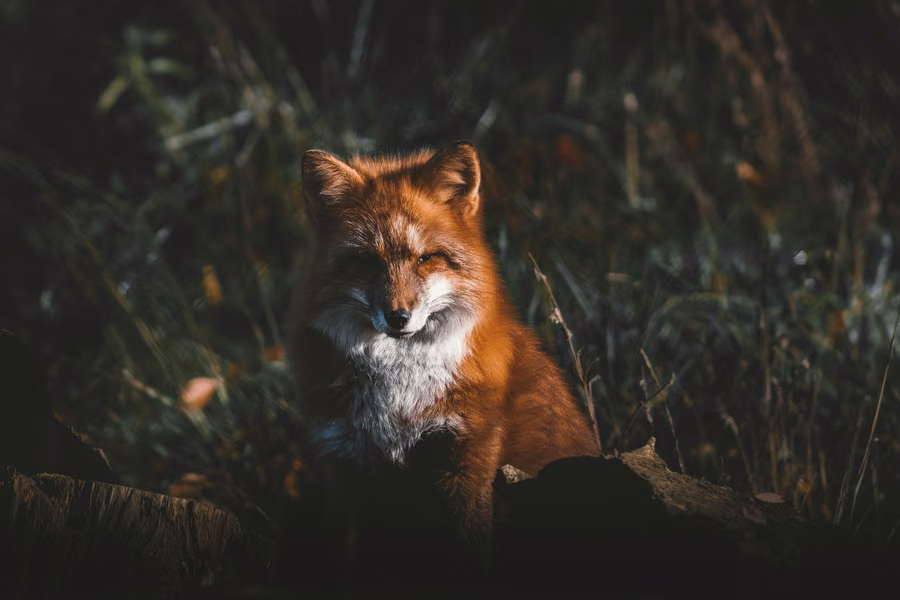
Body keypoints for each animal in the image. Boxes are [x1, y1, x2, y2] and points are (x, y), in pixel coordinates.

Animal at [288, 141, 600, 577]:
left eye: (426, 259)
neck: (400, 395)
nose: (398, 316)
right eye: (367, 261)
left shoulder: (466, 458)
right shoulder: (343, 464)